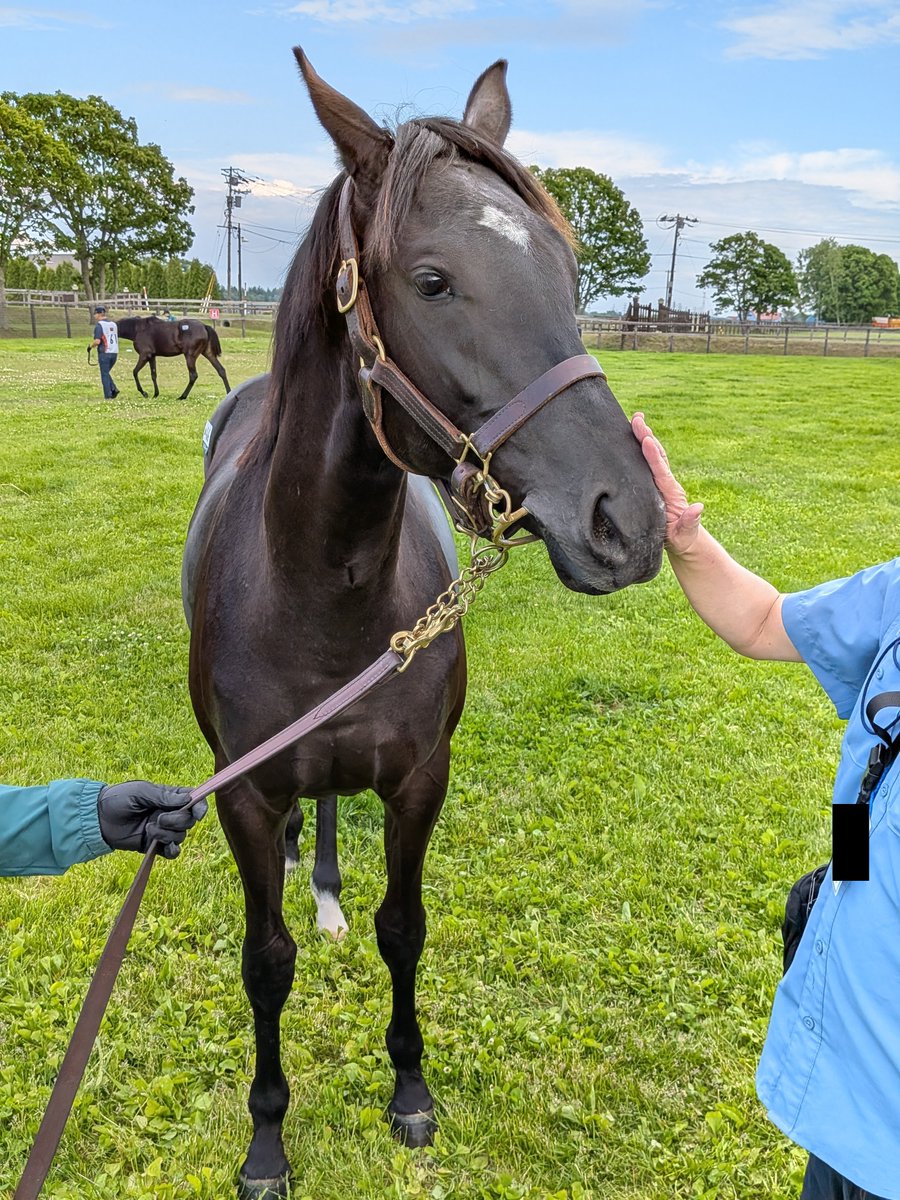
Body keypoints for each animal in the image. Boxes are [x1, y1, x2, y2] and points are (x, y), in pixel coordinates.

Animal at [181, 48, 665, 1199]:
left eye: (569, 274)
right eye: (434, 280)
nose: (628, 521)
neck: (320, 591)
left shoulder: (417, 779)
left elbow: (404, 930)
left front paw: (409, 1090)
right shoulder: (243, 799)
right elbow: (265, 963)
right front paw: (267, 1141)